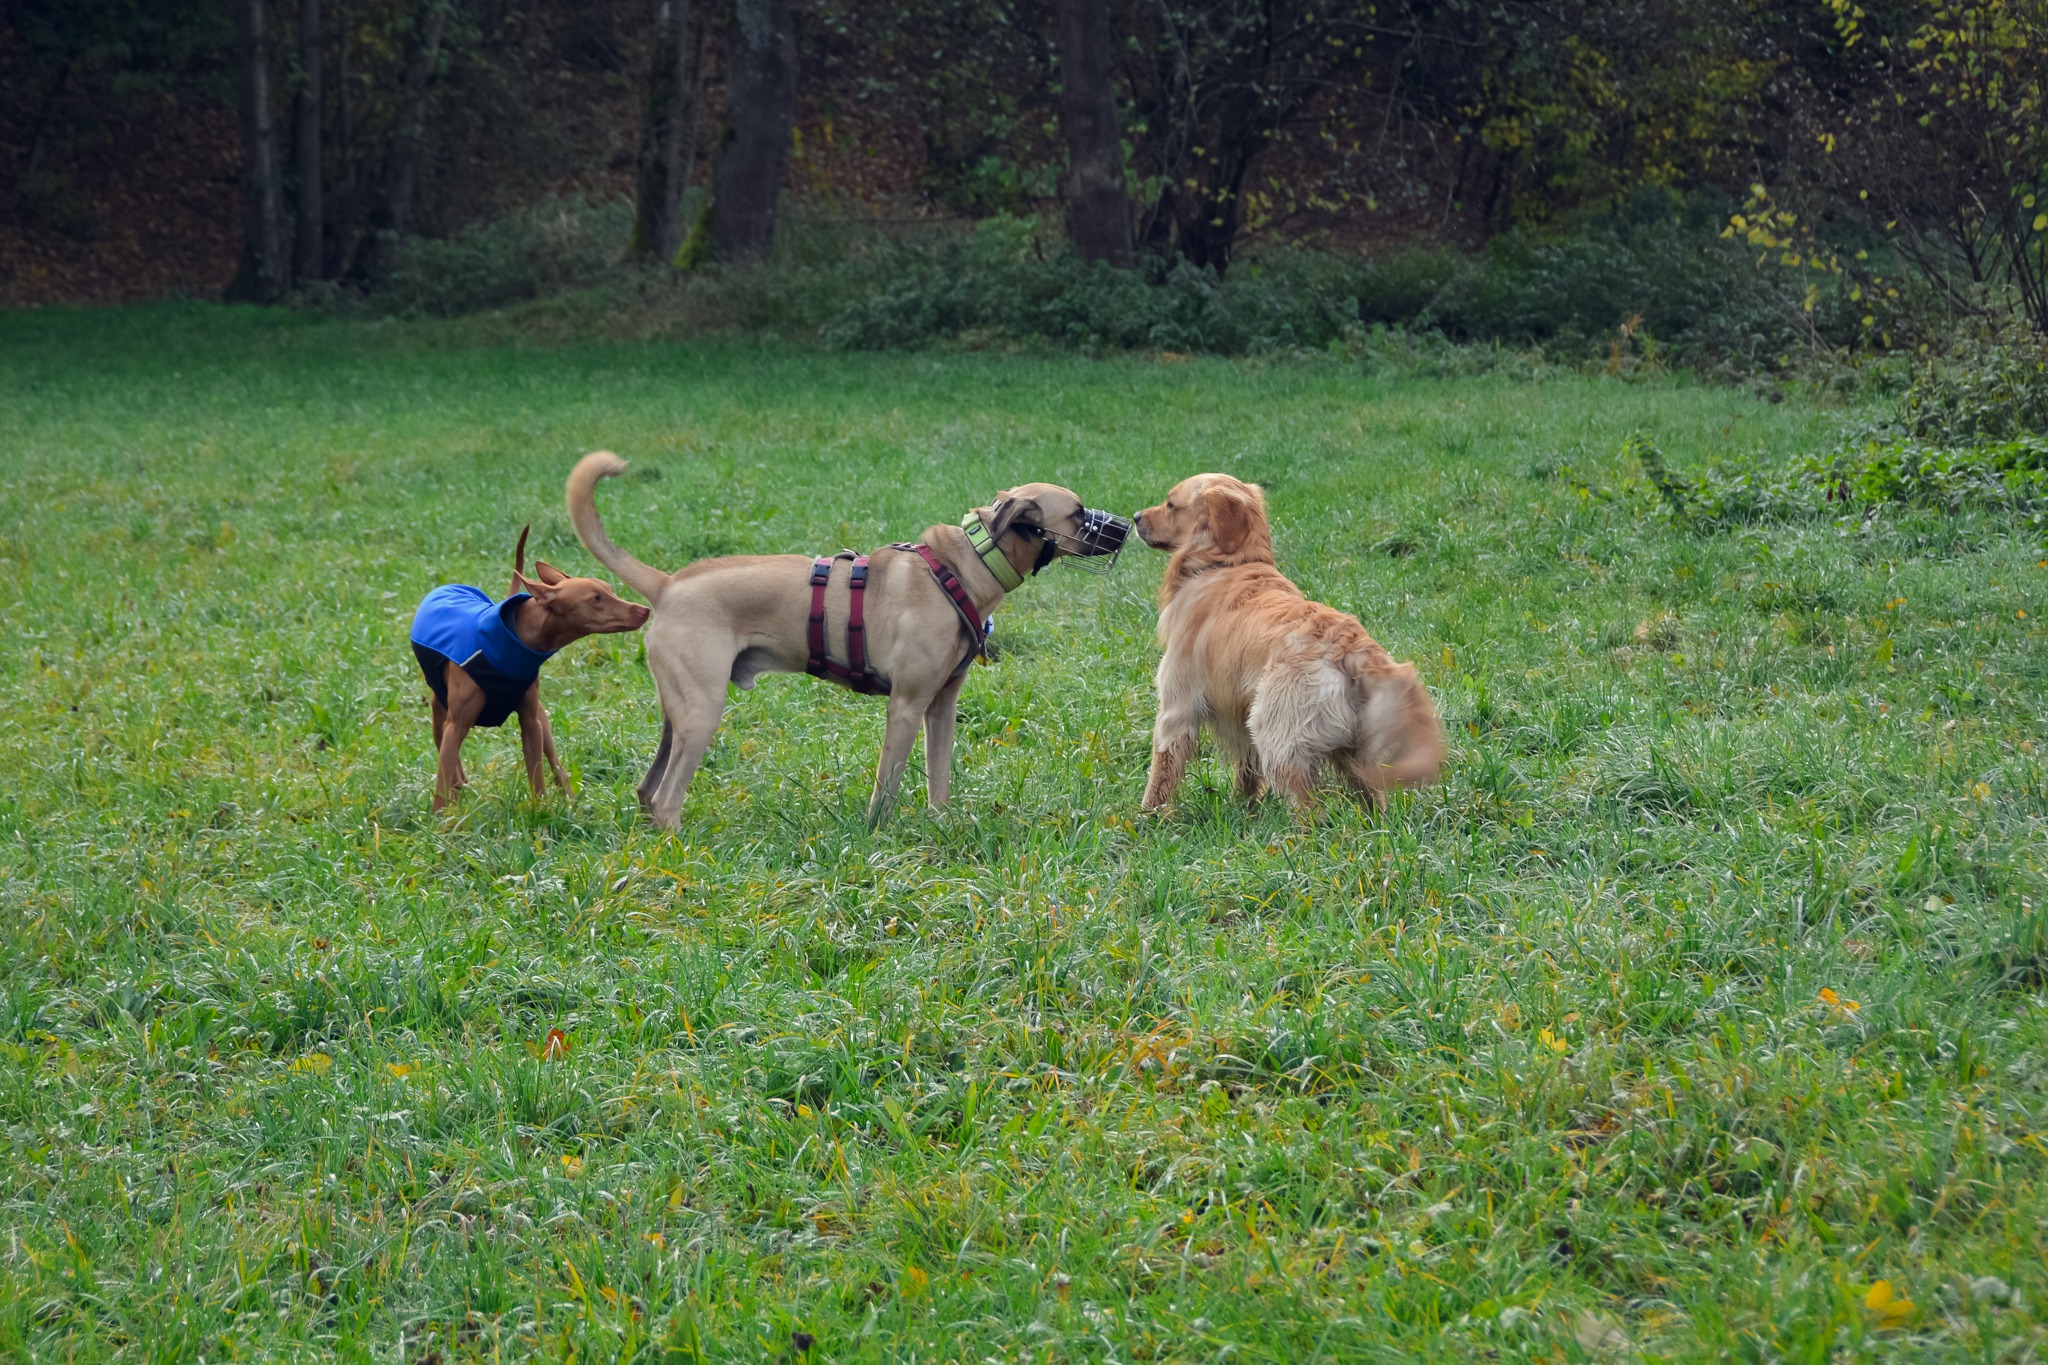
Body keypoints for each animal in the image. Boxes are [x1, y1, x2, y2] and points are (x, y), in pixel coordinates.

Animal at [407, 527, 647, 810]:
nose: (644, 610)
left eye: (609, 589)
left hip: (542, 721)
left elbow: (538, 779)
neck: (515, 636)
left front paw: (540, 812)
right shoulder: (454, 727)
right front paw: (441, 819)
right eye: (595, 598)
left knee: (557, 766)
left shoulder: (531, 724)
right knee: (452, 766)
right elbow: (442, 786)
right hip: (439, 718)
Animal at [569, 454, 1130, 826]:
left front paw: (941, 825)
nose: (1127, 527)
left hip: (679, 714)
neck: (966, 564)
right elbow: (887, 786)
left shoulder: (941, 707)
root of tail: (668, 583)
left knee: (647, 790)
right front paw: (877, 832)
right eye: (1078, 513)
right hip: (703, 712)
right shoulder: (905, 707)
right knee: (667, 798)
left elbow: (939, 778)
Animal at [1138, 472, 1441, 810]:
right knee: (1372, 798)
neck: (1230, 564)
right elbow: (1246, 771)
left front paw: (1147, 817)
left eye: (1170, 504)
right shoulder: (1239, 712)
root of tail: (1351, 647)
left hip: (1277, 738)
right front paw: (1244, 808)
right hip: (1353, 753)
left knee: (1309, 809)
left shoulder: (1177, 707)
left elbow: (1161, 773)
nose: (1136, 517)